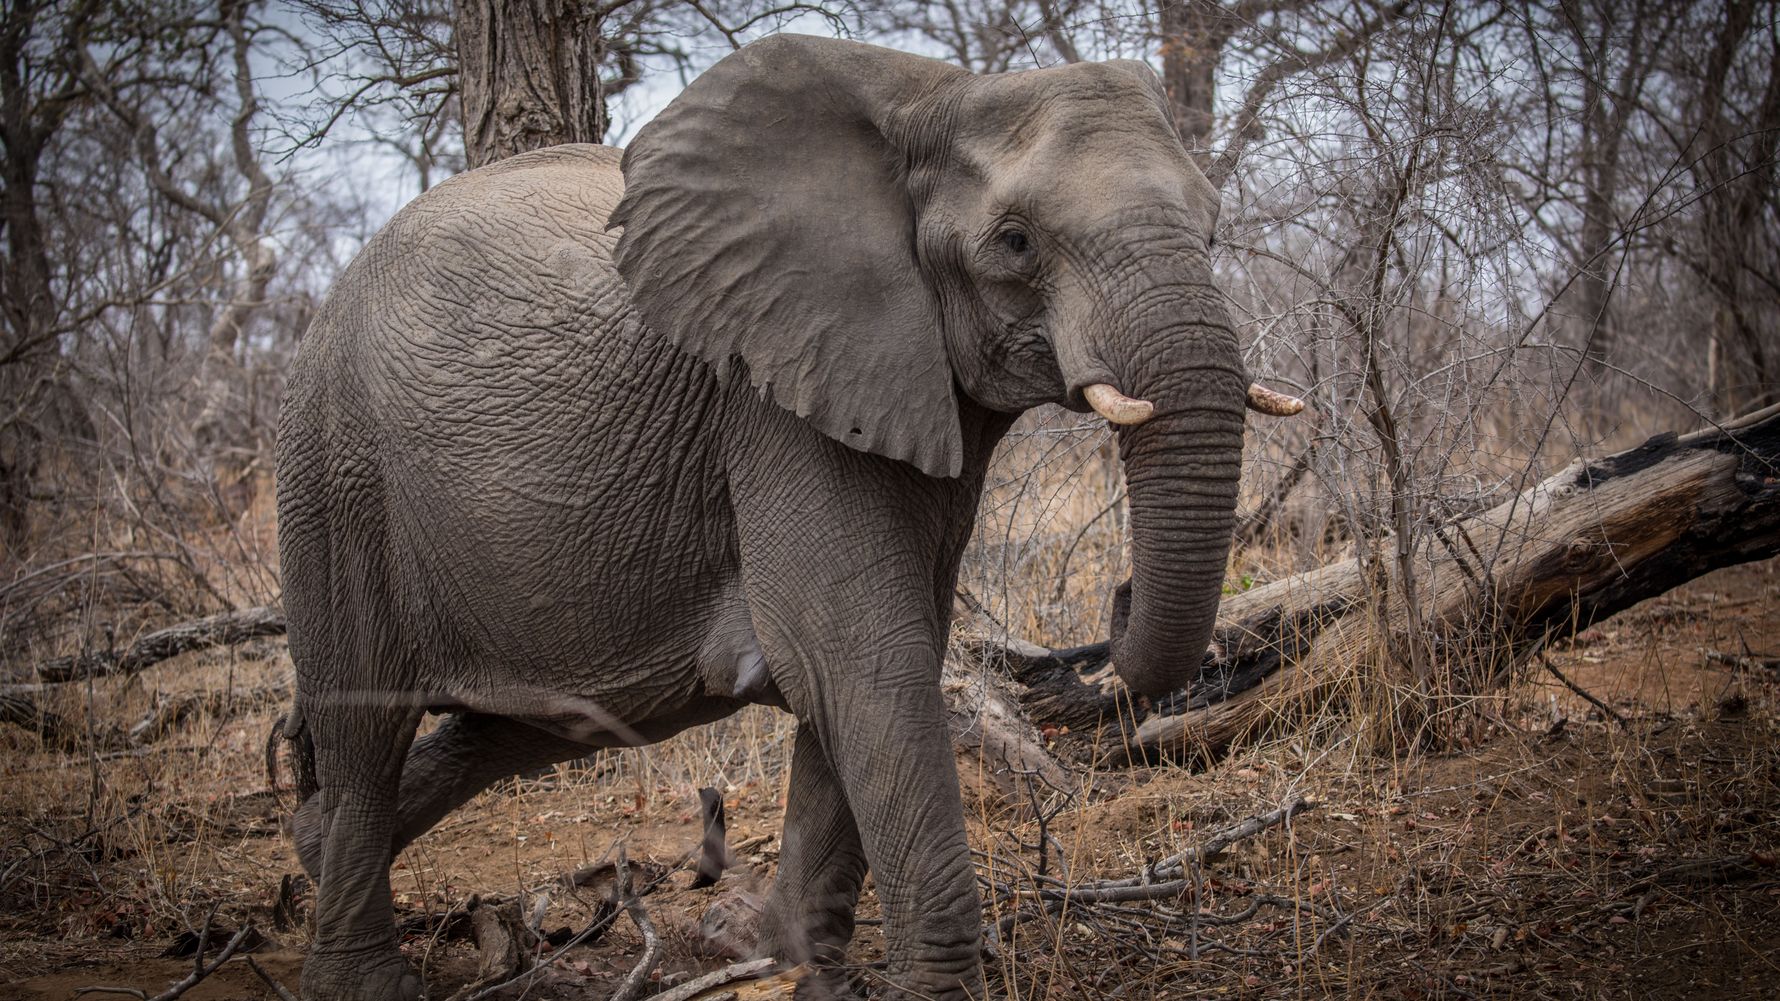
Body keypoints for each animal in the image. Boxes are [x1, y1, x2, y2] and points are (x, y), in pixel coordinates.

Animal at [273, 33, 1301, 1001]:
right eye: (1015, 242)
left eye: (1212, 224)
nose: (1116, 603)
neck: (936, 96)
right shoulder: (771, 399)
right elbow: (861, 660)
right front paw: (926, 989)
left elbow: (867, 664)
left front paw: (760, 951)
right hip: (333, 473)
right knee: (363, 726)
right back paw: (360, 971)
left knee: (541, 721)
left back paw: (308, 843)